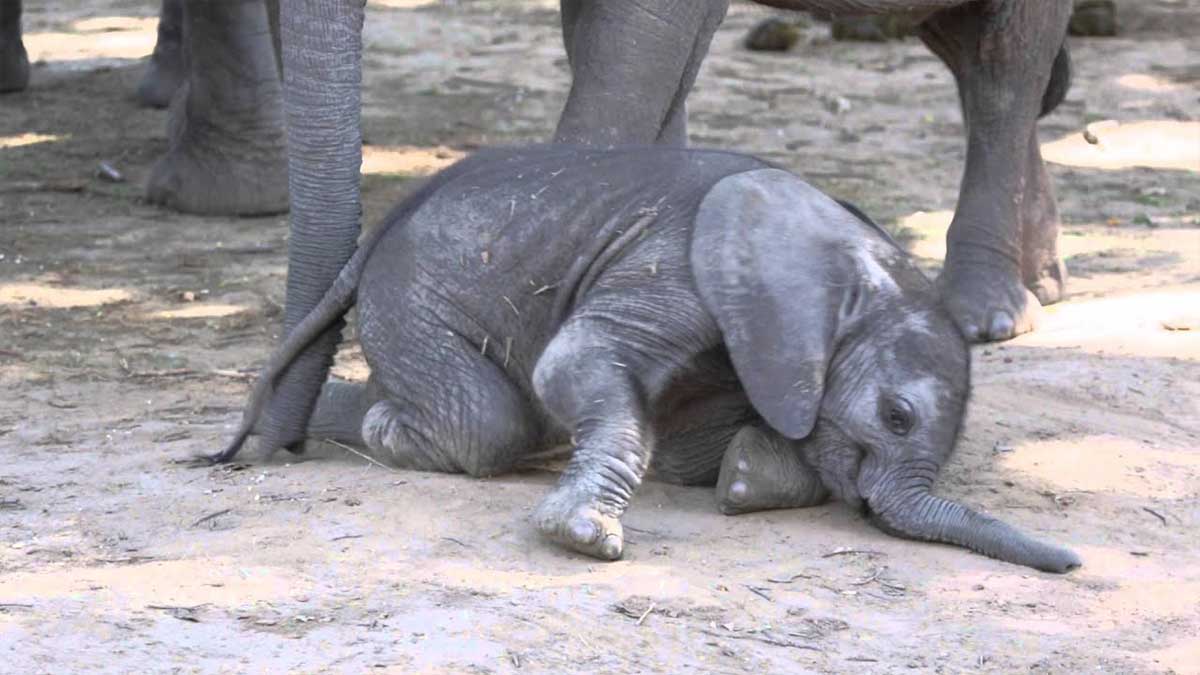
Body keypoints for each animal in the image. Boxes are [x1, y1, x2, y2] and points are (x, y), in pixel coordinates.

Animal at [218, 144, 1089, 569]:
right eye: (898, 415)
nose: (1076, 564)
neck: (851, 255)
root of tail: (373, 240)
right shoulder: (676, 268)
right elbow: (573, 363)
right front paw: (584, 539)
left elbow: (693, 446)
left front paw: (748, 473)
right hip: (412, 293)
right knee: (490, 424)